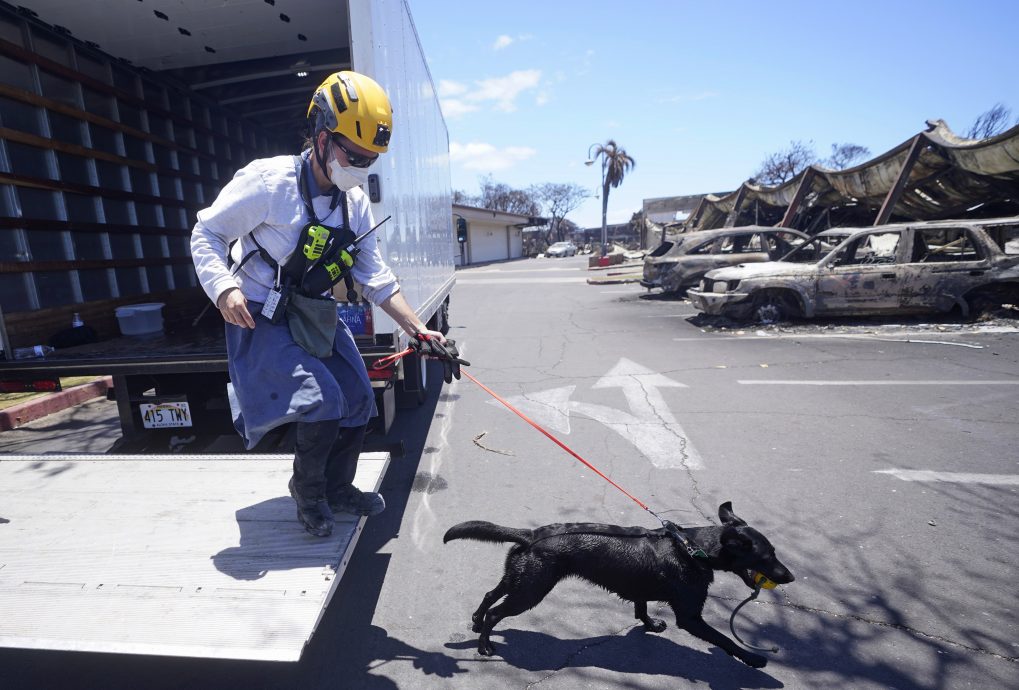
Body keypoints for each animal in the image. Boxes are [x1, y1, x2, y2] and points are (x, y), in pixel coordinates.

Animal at [442, 501, 790, 668]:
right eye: (766, 556)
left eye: (774, 551)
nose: (790, 576)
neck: (692, 548)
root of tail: (530, 534)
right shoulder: (690, 617)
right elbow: (725, 639)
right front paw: (753, 659)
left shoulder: (642, 591)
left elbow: (642, 609)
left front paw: (650, 624)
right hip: (530, 590)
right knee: (496, 612)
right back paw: (484, 645)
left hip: (519, 579)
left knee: (490, 596)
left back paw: (476, 625)